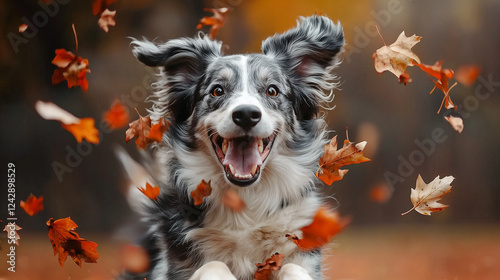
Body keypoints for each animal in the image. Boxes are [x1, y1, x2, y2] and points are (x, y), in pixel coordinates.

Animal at [125, 15, 344, 280]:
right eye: (217, 90)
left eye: (272, 90)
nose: (247, 114)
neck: (246, 203)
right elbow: (214, 266)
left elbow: (293, 268)